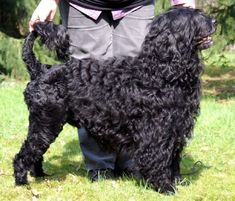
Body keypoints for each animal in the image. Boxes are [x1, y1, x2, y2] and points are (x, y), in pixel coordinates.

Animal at [12, 7, 215, 193]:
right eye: (194, 18)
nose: (213, 21)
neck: (159, 71)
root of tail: (41, 70)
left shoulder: (177, 127)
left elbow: (173, 157)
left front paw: (178, 181)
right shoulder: (157, 130)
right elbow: (159, 158)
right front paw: (164, 187)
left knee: (35, 153)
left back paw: (40, 175)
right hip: (46, 123)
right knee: (24, 153)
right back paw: (22, 182)